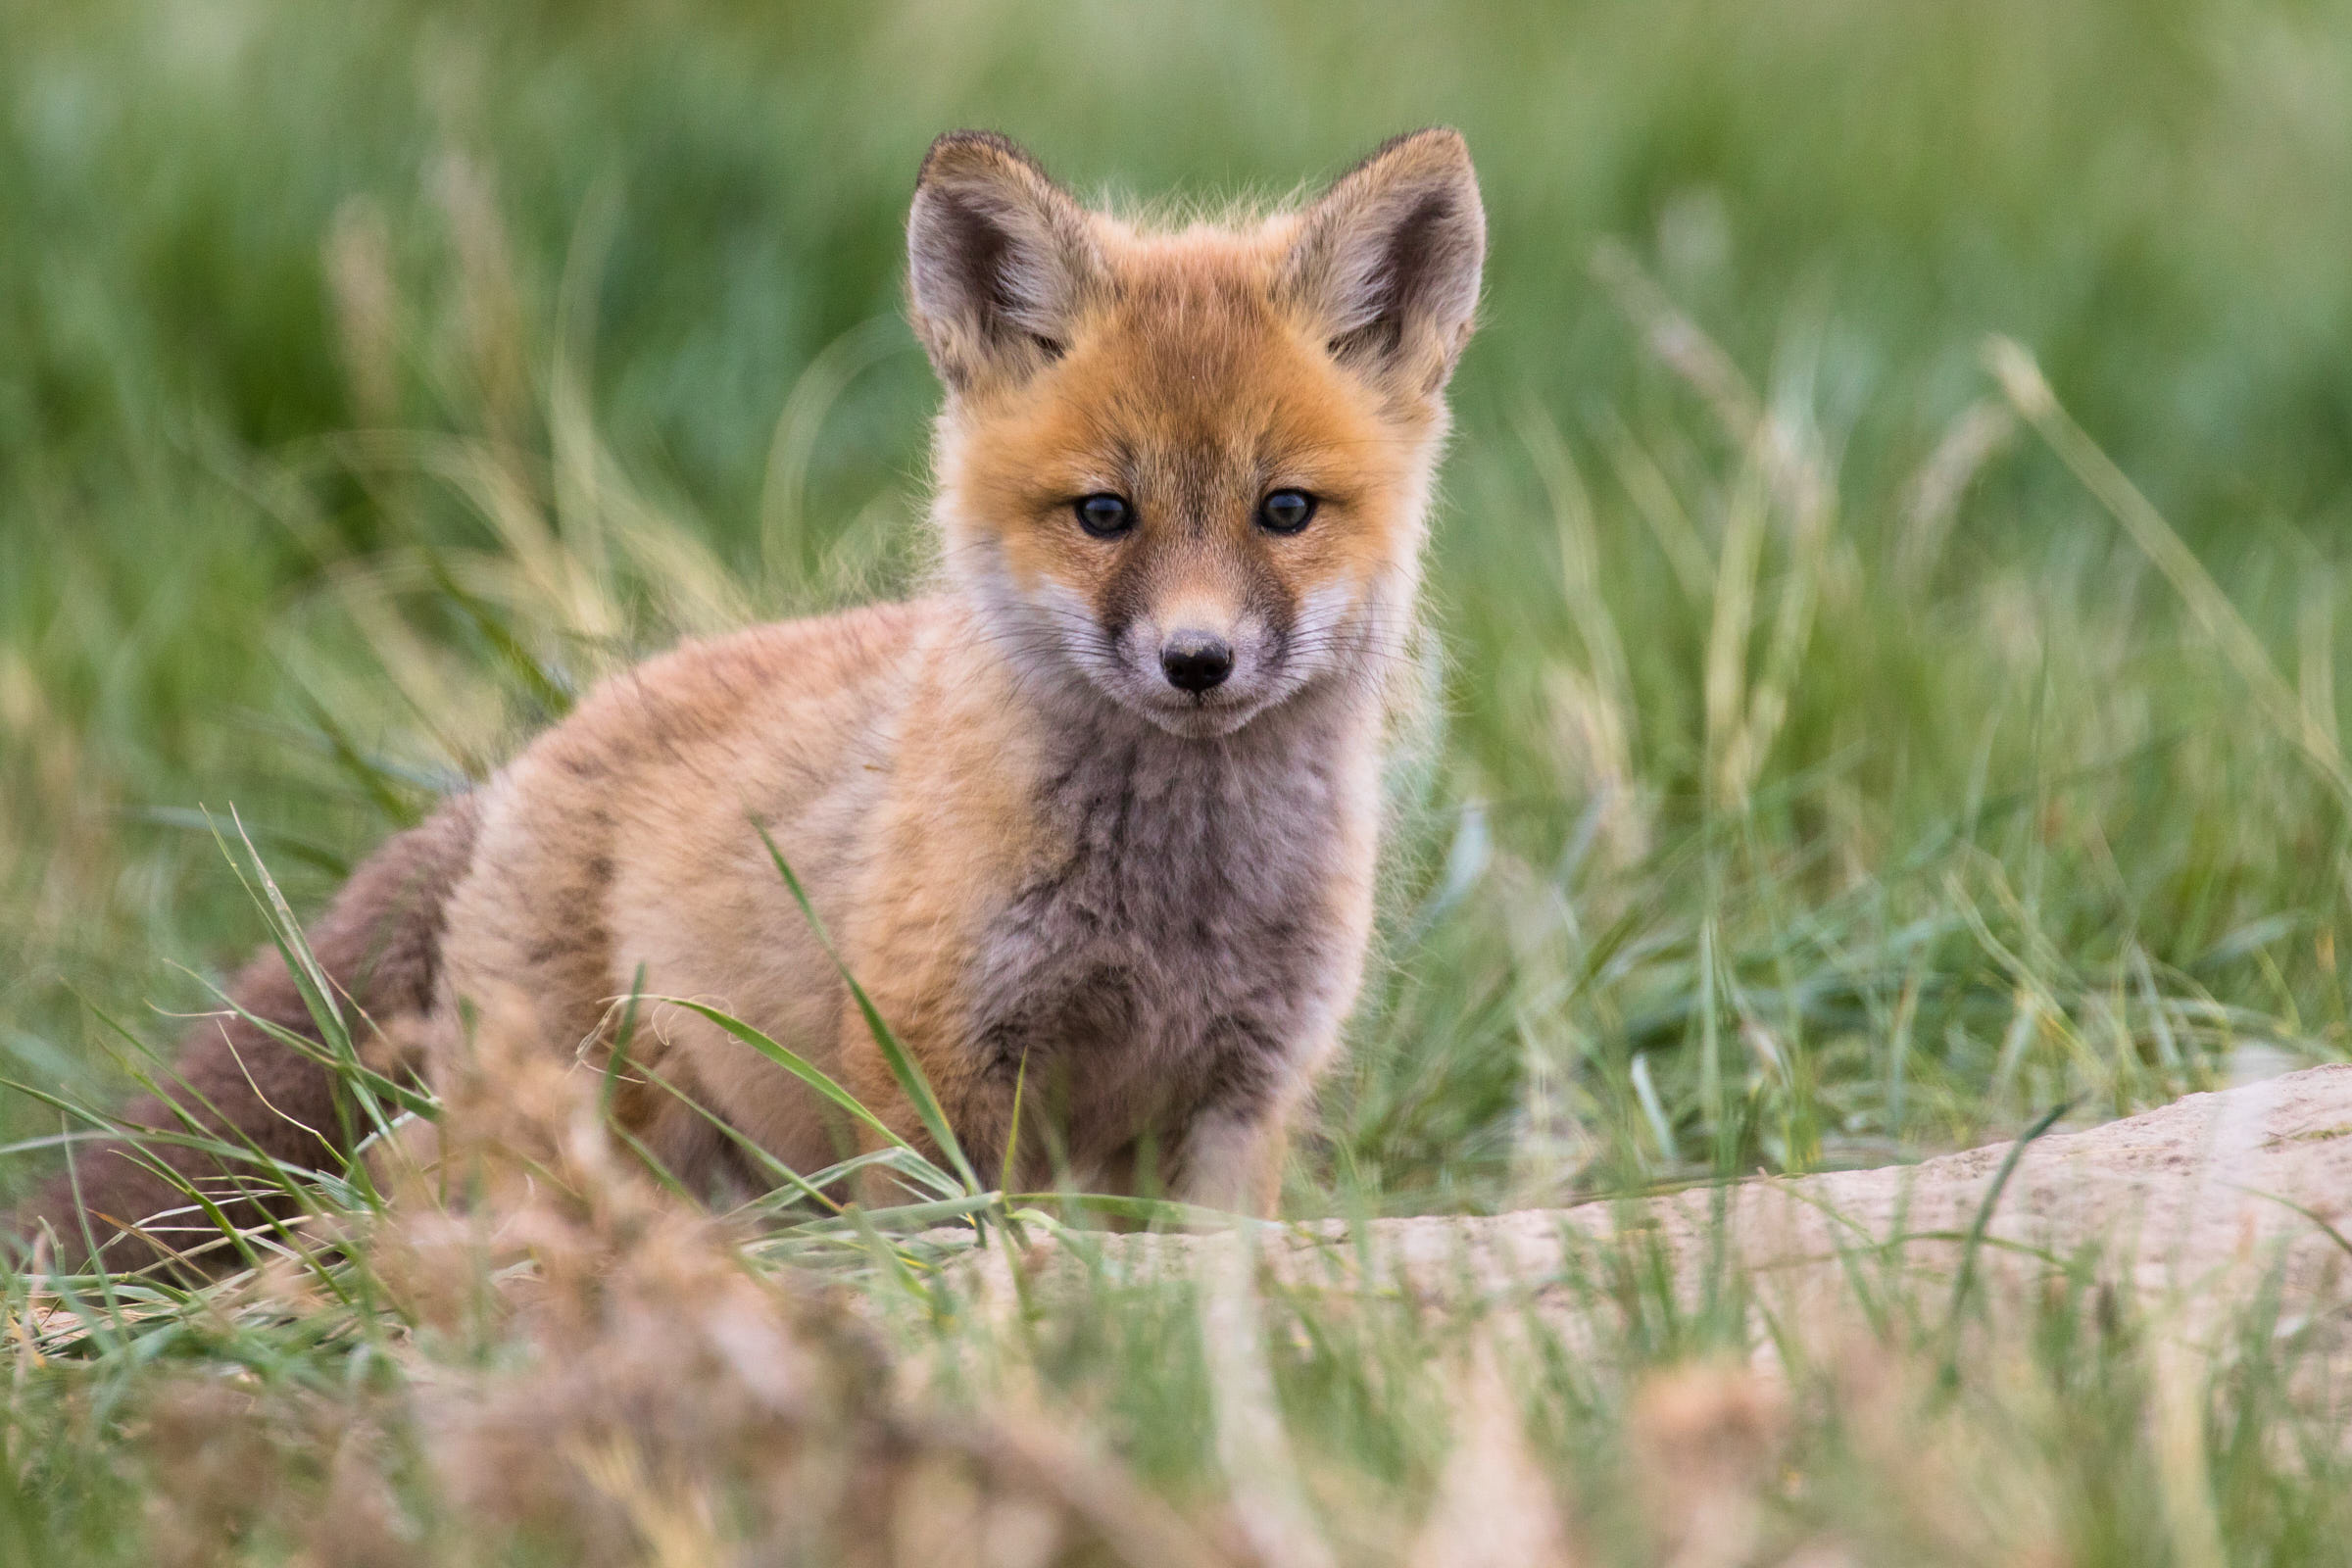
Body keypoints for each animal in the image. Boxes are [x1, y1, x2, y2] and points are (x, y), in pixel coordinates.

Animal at [16, 128, 1485, 1269]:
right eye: (1104, 515)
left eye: (1285, 511)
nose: (1197, 661)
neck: (1173, 903)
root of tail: (534, 751)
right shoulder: (928, 1065)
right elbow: (956, 1250)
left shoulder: (1242, 1101)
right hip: (579, 1118)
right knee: (404, 1183)